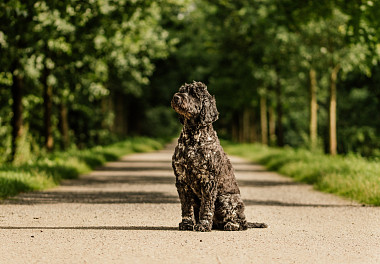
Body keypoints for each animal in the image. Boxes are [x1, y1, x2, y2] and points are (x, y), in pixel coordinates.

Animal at [172, 81, 268, 231]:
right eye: (181, 90)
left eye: (194, 94)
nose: (176, 97)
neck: (193, 139)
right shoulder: (182, 180)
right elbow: (186, 206)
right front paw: (187, 223)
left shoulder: (209, 180)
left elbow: (207, 206)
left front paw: (203, 225)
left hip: (226, 199)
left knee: (241, 223)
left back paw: (231, 225)